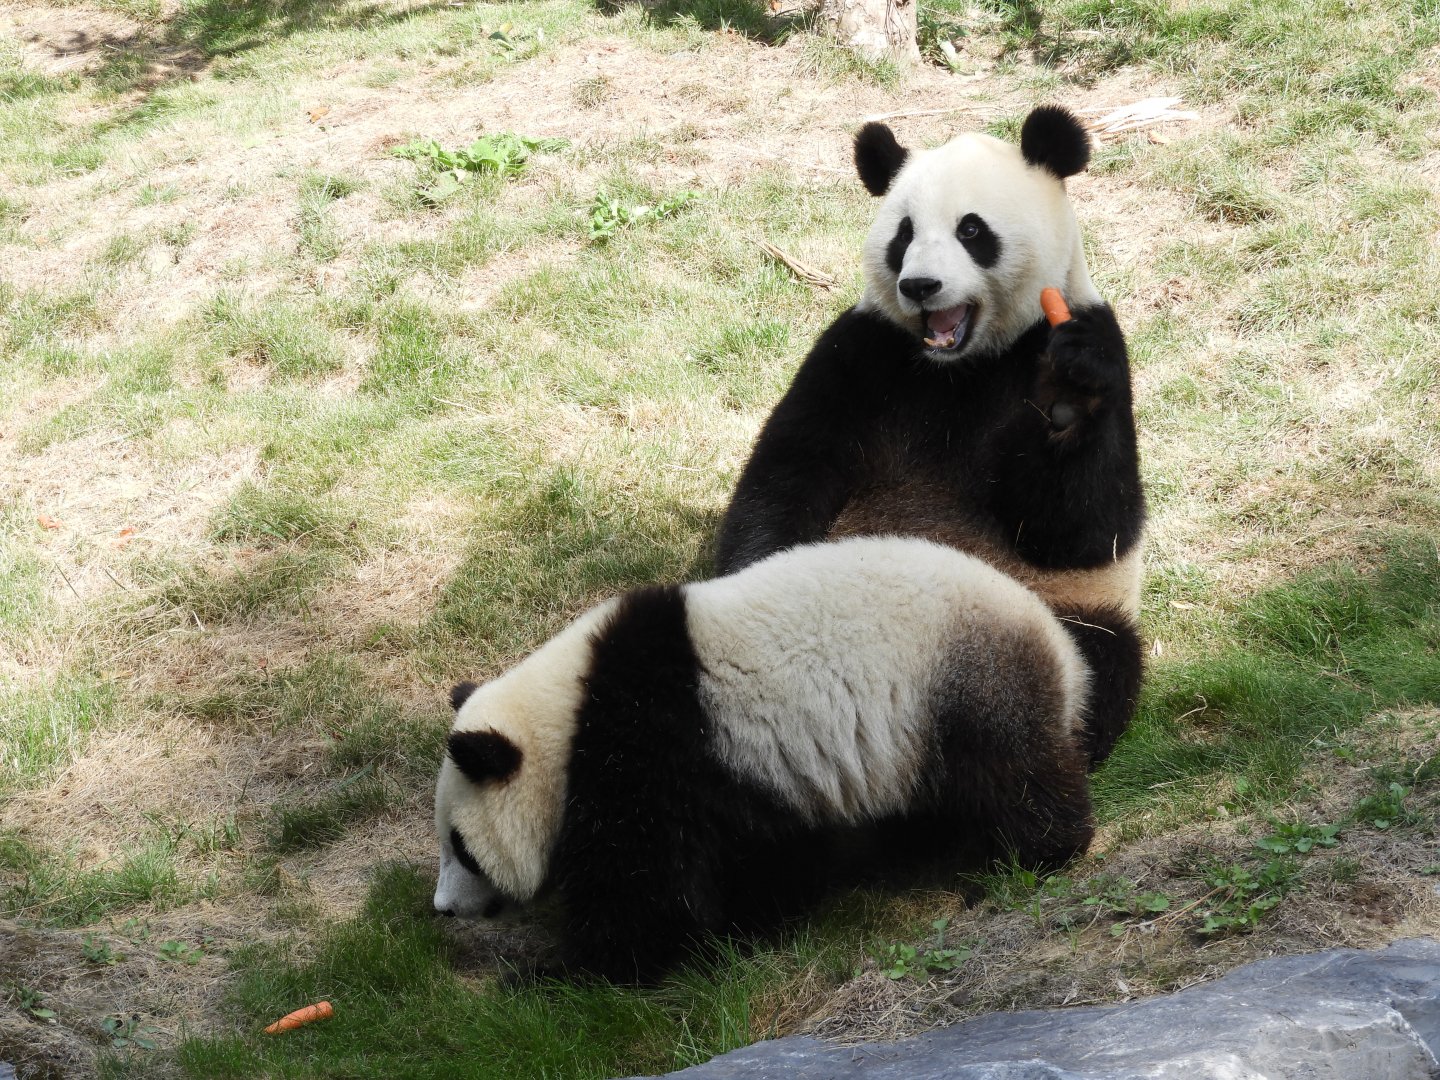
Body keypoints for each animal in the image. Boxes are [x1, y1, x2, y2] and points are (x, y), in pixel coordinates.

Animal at [434, 535, 1094, 984]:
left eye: (461, 848)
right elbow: (768, 855)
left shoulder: (647, 749)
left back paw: (1033, 857)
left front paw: (561, 973)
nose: (443, 909)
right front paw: (753, 924)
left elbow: (643, 890)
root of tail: (1062, 650)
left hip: (966, 690)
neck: (567, 717)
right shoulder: (746, 774)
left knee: (1015, 778)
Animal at [715, 105, 1146, 766]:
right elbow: (787, 475)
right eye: (904, 235)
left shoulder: (1086, 339)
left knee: (1099, 660)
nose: (920, 286)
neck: (960, 366)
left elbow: (1088, 528)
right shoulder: (861, 358)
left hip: (1071, 609)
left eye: (971, 230)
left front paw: (1069, 400)